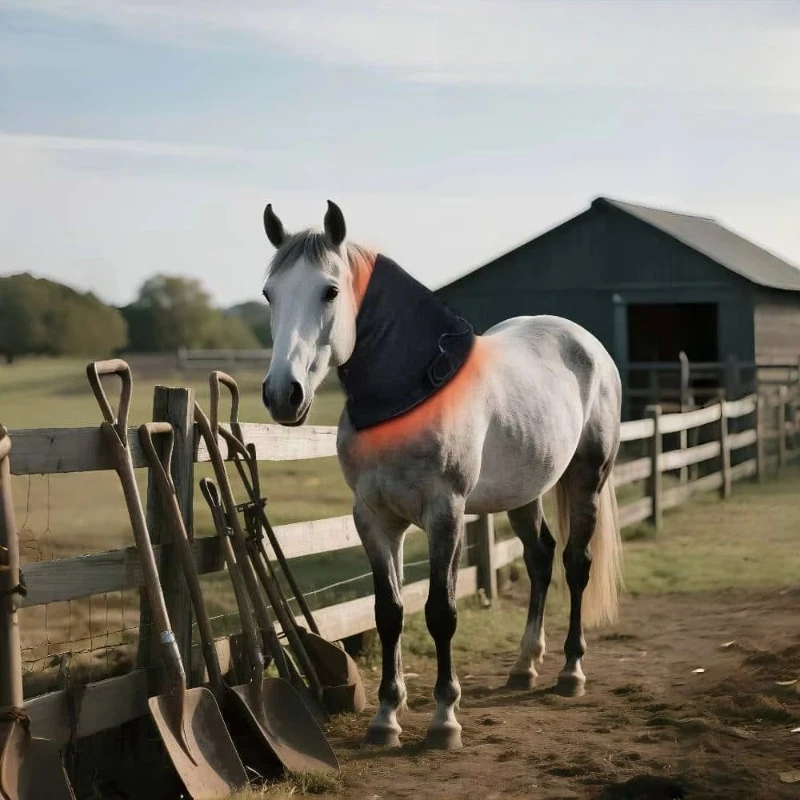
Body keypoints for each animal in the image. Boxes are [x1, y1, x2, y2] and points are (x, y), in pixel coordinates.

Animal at [259, 200, 624, 750]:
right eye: (269, 294)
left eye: (330, 290)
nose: (284, 394)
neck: (406, 398)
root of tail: (588, 345)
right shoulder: (375, 519)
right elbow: (388, 613)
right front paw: (386, 717)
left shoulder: (444, 514)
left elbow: (440, 612)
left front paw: (444, 719)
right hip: (524, 493)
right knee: (540, 559)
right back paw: (523, 665)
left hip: (587, 478)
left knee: (576, 565)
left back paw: (570, 672)